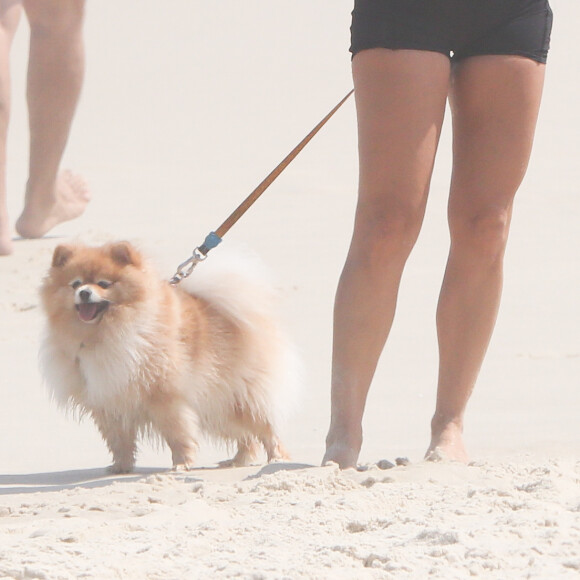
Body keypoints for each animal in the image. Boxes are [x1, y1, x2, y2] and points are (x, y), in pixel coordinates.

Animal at [38, 242, 300, 474]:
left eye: (103, 283)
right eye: (75, 284)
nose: (84, 293)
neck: (104, 334)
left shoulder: (166, 398)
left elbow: (178, 434)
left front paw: (181, 464)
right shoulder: (109, 401)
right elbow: (119, 440)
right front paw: (121, 467)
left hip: (236, 398)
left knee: (266, 429)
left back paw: (276, 458)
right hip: (218, 405)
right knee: (245, 435)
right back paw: (238, 460)